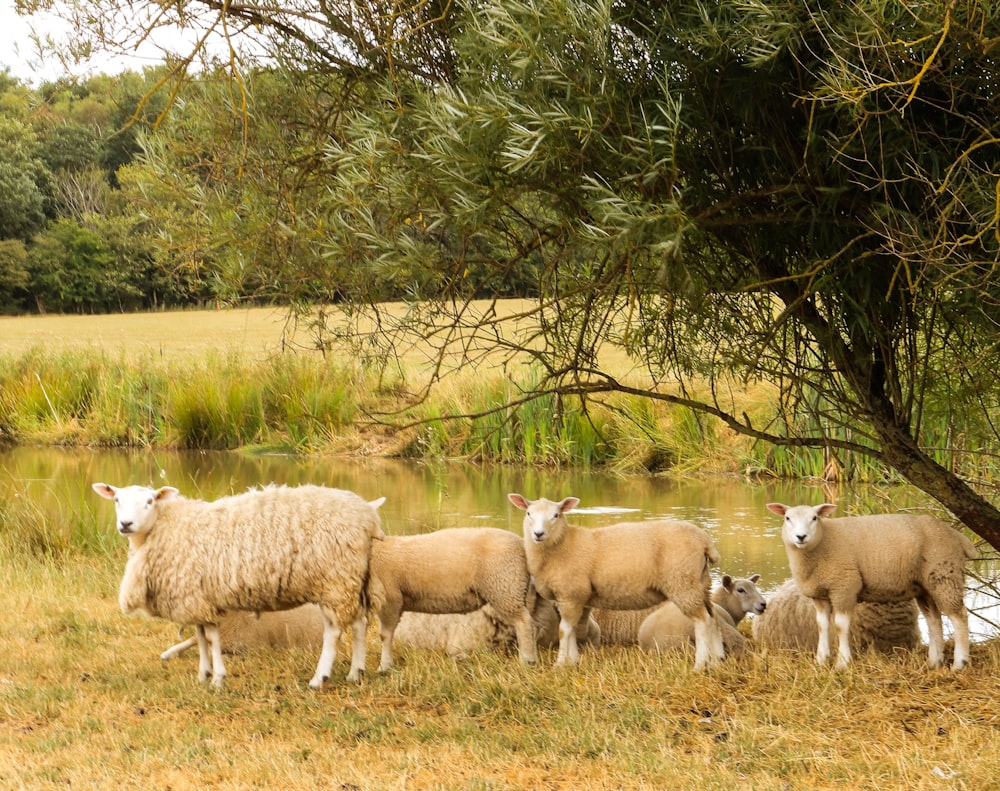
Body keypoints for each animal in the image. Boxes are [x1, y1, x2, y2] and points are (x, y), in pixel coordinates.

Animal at [94, 482, 384, 688]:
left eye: (150, 501)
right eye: (117, 500)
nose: (125, 524)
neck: (166, 526)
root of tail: (366, 515)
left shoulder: (198, 598)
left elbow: (211, 638)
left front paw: (217, 678)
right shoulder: (196, 598)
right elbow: (201, 637)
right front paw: (204, 674)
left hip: (335, 578)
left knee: (334, 630)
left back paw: (319, 678)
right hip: (350, 578)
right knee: (359, 623)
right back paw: (356, 673)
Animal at [368, 528, 540, 672]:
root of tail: (521, 543)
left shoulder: (390, 599)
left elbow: (385, 635)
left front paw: (384, 666)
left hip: (505, 587)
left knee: (524, 623)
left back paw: (527, 660)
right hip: (510, 589)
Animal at [512, 496, 724, 668]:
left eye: (556, 515)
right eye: (529, 513)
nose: (538, 534)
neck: (562, 545)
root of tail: (705, 540)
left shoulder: (570, 593)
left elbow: (564, 630)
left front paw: (561, 664)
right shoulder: (572, 597)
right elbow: (571, 629)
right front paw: (573, 661)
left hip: (682, 582)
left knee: (702, 621)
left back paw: (700, 664)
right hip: (700, 583)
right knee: (713, 617)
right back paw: (717, 661)